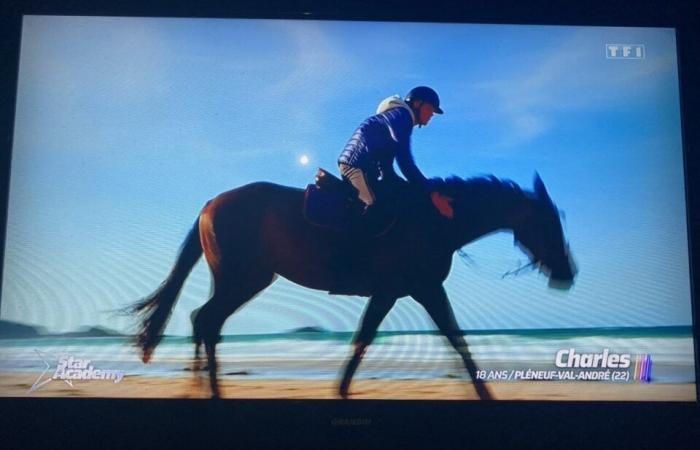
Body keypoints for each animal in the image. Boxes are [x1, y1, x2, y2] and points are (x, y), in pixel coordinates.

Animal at [131, 173, 576, 400]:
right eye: (548, 222)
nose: (567, 273)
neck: (434, 221)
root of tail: (209, 204)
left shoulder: (408, 291)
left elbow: (390, 336)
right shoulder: (412, 289)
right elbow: (445, 337)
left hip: (239, 281)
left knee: (202, 321)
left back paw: (199, 387)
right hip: (245, 279)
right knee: (207, 322)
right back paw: (211, 390)